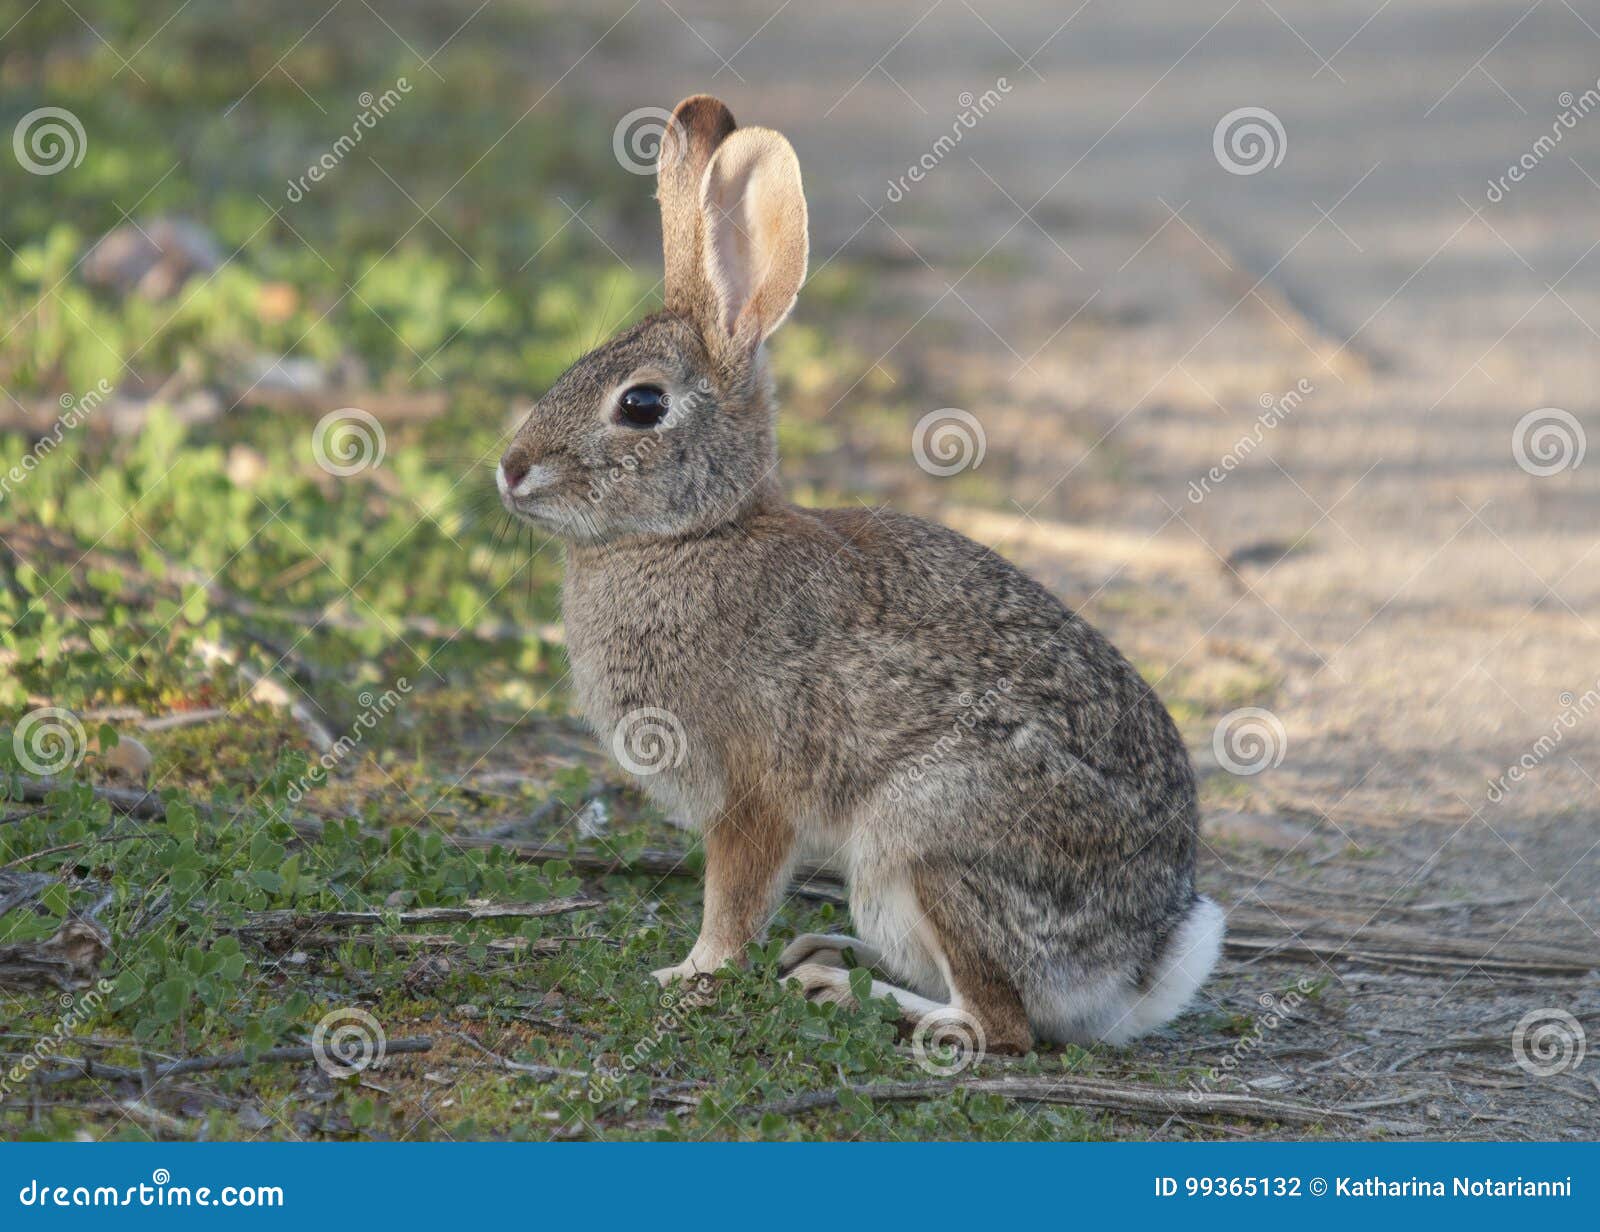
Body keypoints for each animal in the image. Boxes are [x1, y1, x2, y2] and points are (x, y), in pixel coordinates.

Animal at [499, 96, 1222, 1049]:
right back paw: (828, 953)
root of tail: (1135, 969)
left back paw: (842, 991)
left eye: (642, 405)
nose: (510, 470)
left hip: (924, 835)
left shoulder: (755, 792)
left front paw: (689, 975)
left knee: (1001, 1024)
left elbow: (734, 899)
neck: (696, 534)